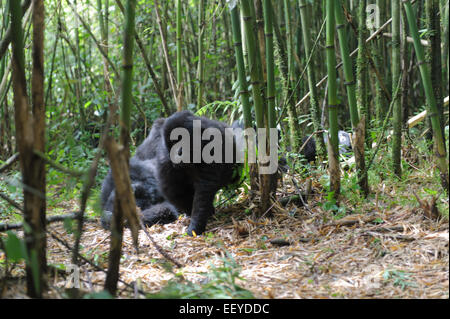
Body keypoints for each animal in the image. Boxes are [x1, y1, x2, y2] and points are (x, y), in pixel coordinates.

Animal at [101, 111, 243, 236]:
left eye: (184, 140)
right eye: (174, 141)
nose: (178, 152)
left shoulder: (214, 144)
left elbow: (203, 190)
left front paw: (195, 224)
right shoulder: (165, 157)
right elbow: (173, 191)